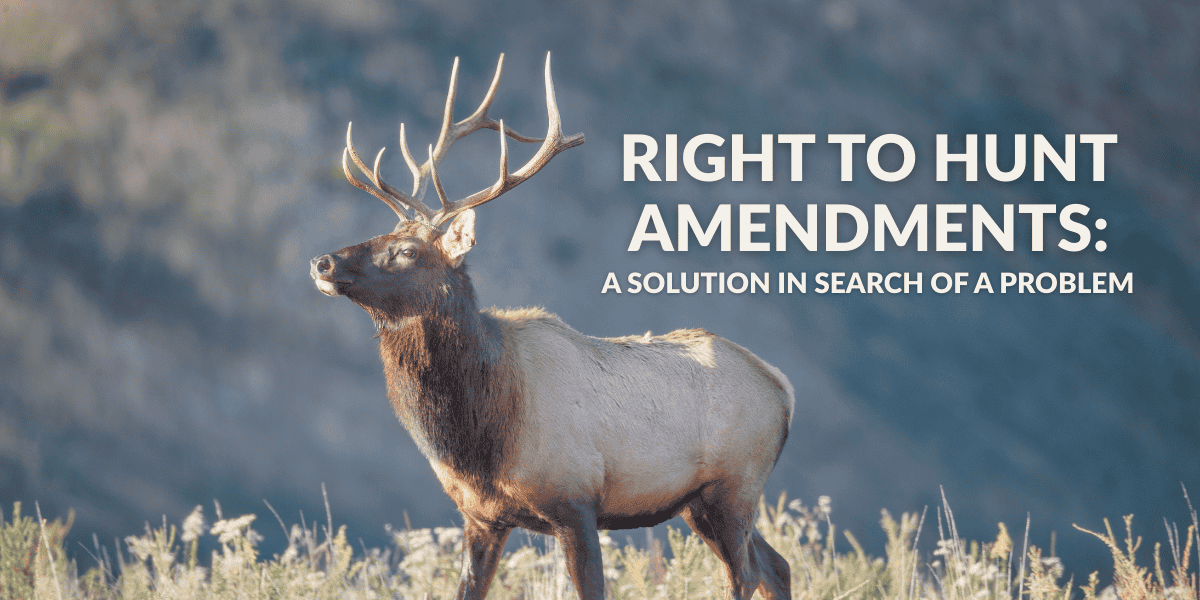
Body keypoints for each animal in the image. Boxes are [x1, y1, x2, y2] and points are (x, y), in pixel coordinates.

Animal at [309, 53, 795, 600]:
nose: (323, 262)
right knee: (777, 566)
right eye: (383, 233)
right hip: (700, 503)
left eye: (408, 251)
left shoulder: (576, 501)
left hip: (736, 486)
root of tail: (782, 386)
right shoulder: (482, 516)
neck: (481, 436)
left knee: (746, 573)